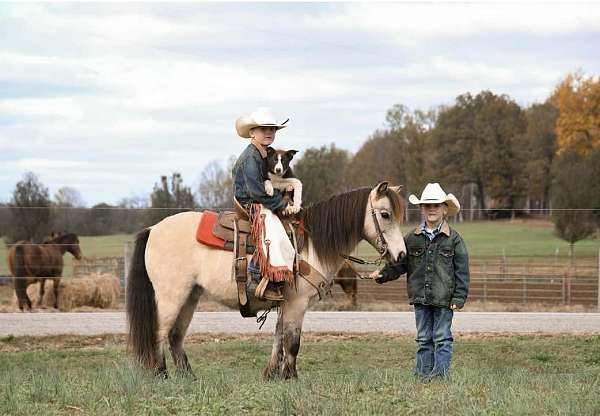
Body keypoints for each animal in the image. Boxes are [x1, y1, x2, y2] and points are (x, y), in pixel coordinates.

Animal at [126, 184, 408, 378]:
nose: (402, 255)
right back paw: (160, 376)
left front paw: (272, 374)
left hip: (190, 296)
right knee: (159, 333)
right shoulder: (297, 304)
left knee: (175, 335)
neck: (310, 245)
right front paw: (291, 377)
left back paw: (188, 377)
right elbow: (292, 342)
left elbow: (278, 338)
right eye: (385, 214)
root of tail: (152, 230)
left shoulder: (285, 304)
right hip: (171, 297)